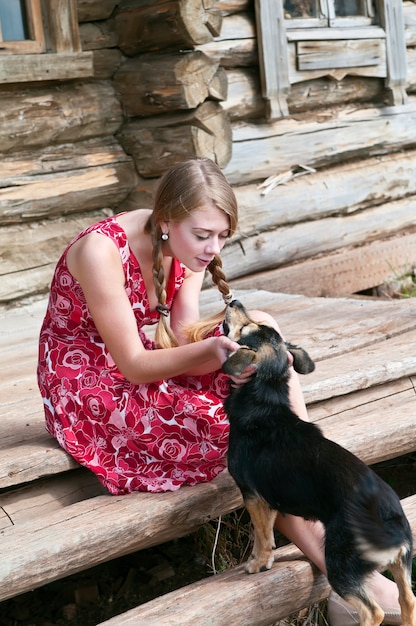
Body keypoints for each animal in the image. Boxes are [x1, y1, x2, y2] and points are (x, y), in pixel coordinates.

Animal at [223, 298, 414, 624]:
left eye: (247, 327)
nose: (235, 301)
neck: (264, 395)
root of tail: (391, 525)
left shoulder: (253, 495)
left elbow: (261, 535)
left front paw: (258, 563)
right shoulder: (268, 499)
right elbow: (268, 534)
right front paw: (266, 558)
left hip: (339, 563)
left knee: (373, 610)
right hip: (401, 566)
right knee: (408, 600)